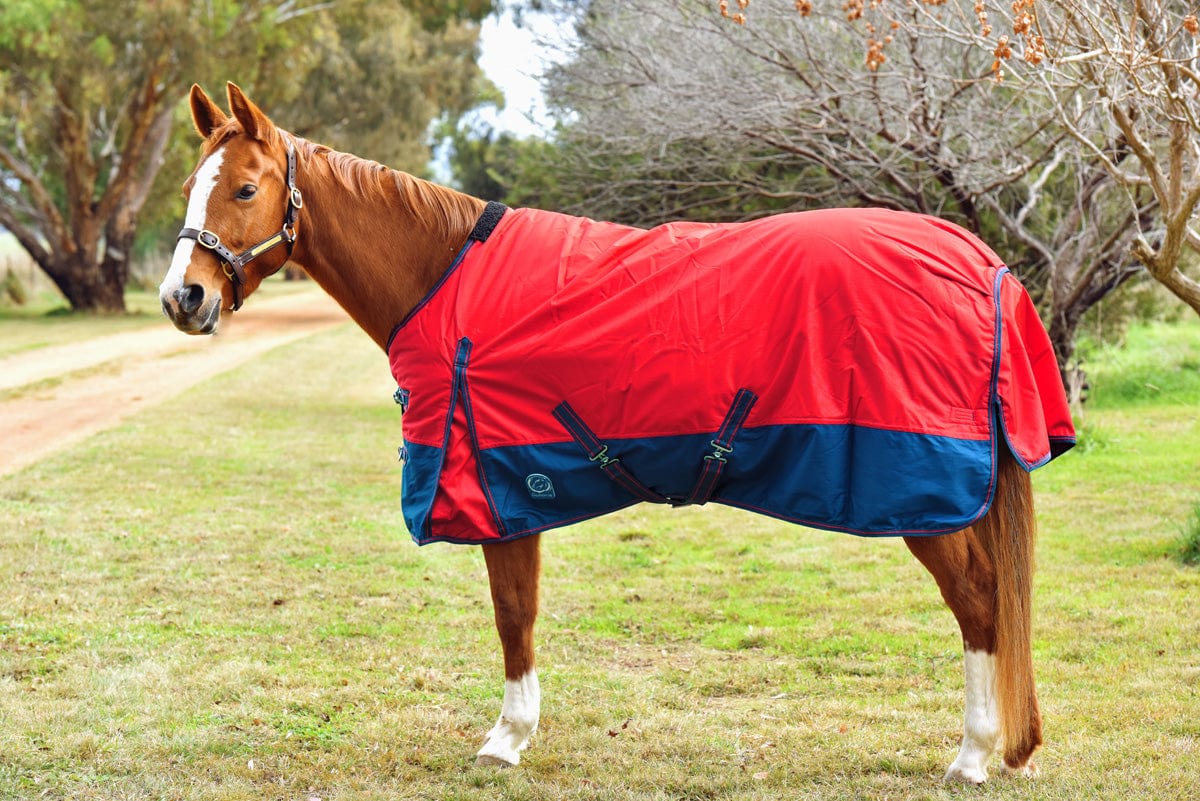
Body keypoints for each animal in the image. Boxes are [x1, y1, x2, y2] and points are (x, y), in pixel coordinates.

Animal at [158, 82, 1075, 783]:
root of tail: (976, 258)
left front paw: (506, 739)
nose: (182, 298)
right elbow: (521, 615)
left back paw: (972, 755)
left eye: (244, 191)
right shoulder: (515, 490)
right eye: (190, 187)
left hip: (926, 500)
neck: (443, 274)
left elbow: (513, 616)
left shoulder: (500, 493)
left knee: (980, 602)